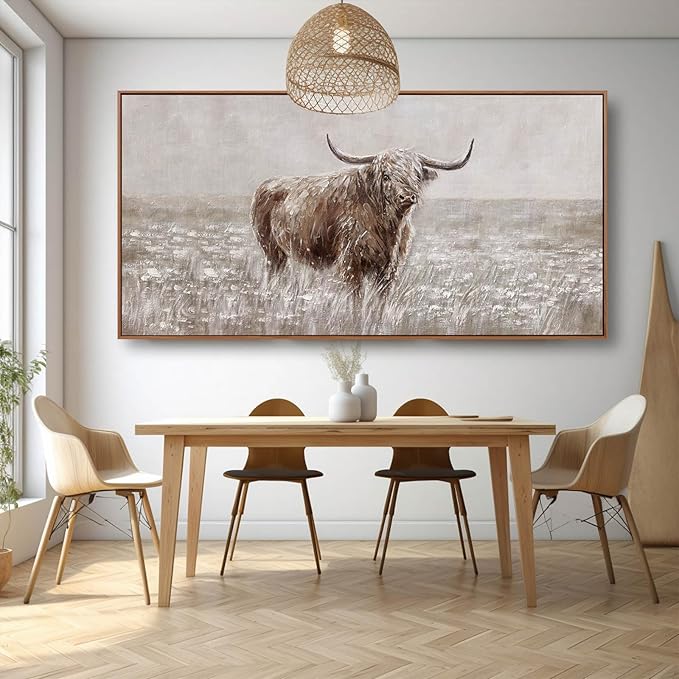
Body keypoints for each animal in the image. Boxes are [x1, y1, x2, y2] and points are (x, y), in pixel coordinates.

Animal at [251, 134, 474, 297]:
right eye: (386, 176)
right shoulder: (351, 265)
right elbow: (356, 303)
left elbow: (379, 306)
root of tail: (267, 184)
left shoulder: (388, 271)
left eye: (417, 176)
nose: (407, 196)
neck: (389, 227)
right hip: (271, 251)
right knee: (272, 276)